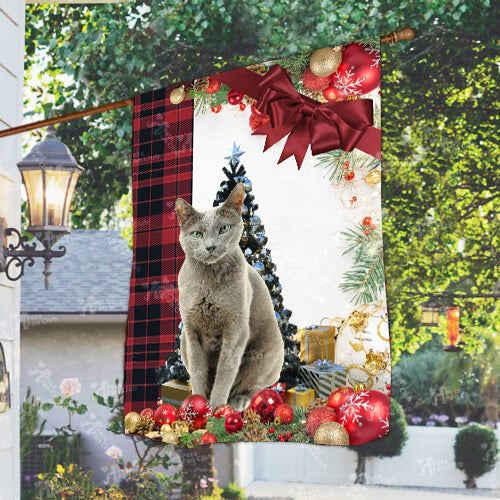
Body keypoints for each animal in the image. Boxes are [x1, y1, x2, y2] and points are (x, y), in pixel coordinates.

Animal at [176, 184, 286, 410]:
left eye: (224, 229)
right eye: (197, 234)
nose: (210, 246)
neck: (208, 283)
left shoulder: (236, 330)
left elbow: (225, 372)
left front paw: (217, 409)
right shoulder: (191, 330)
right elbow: (198, 372)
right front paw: (197, 404)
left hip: (267, 352)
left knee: (254, 383)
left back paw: (239, 400)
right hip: (182, 341)